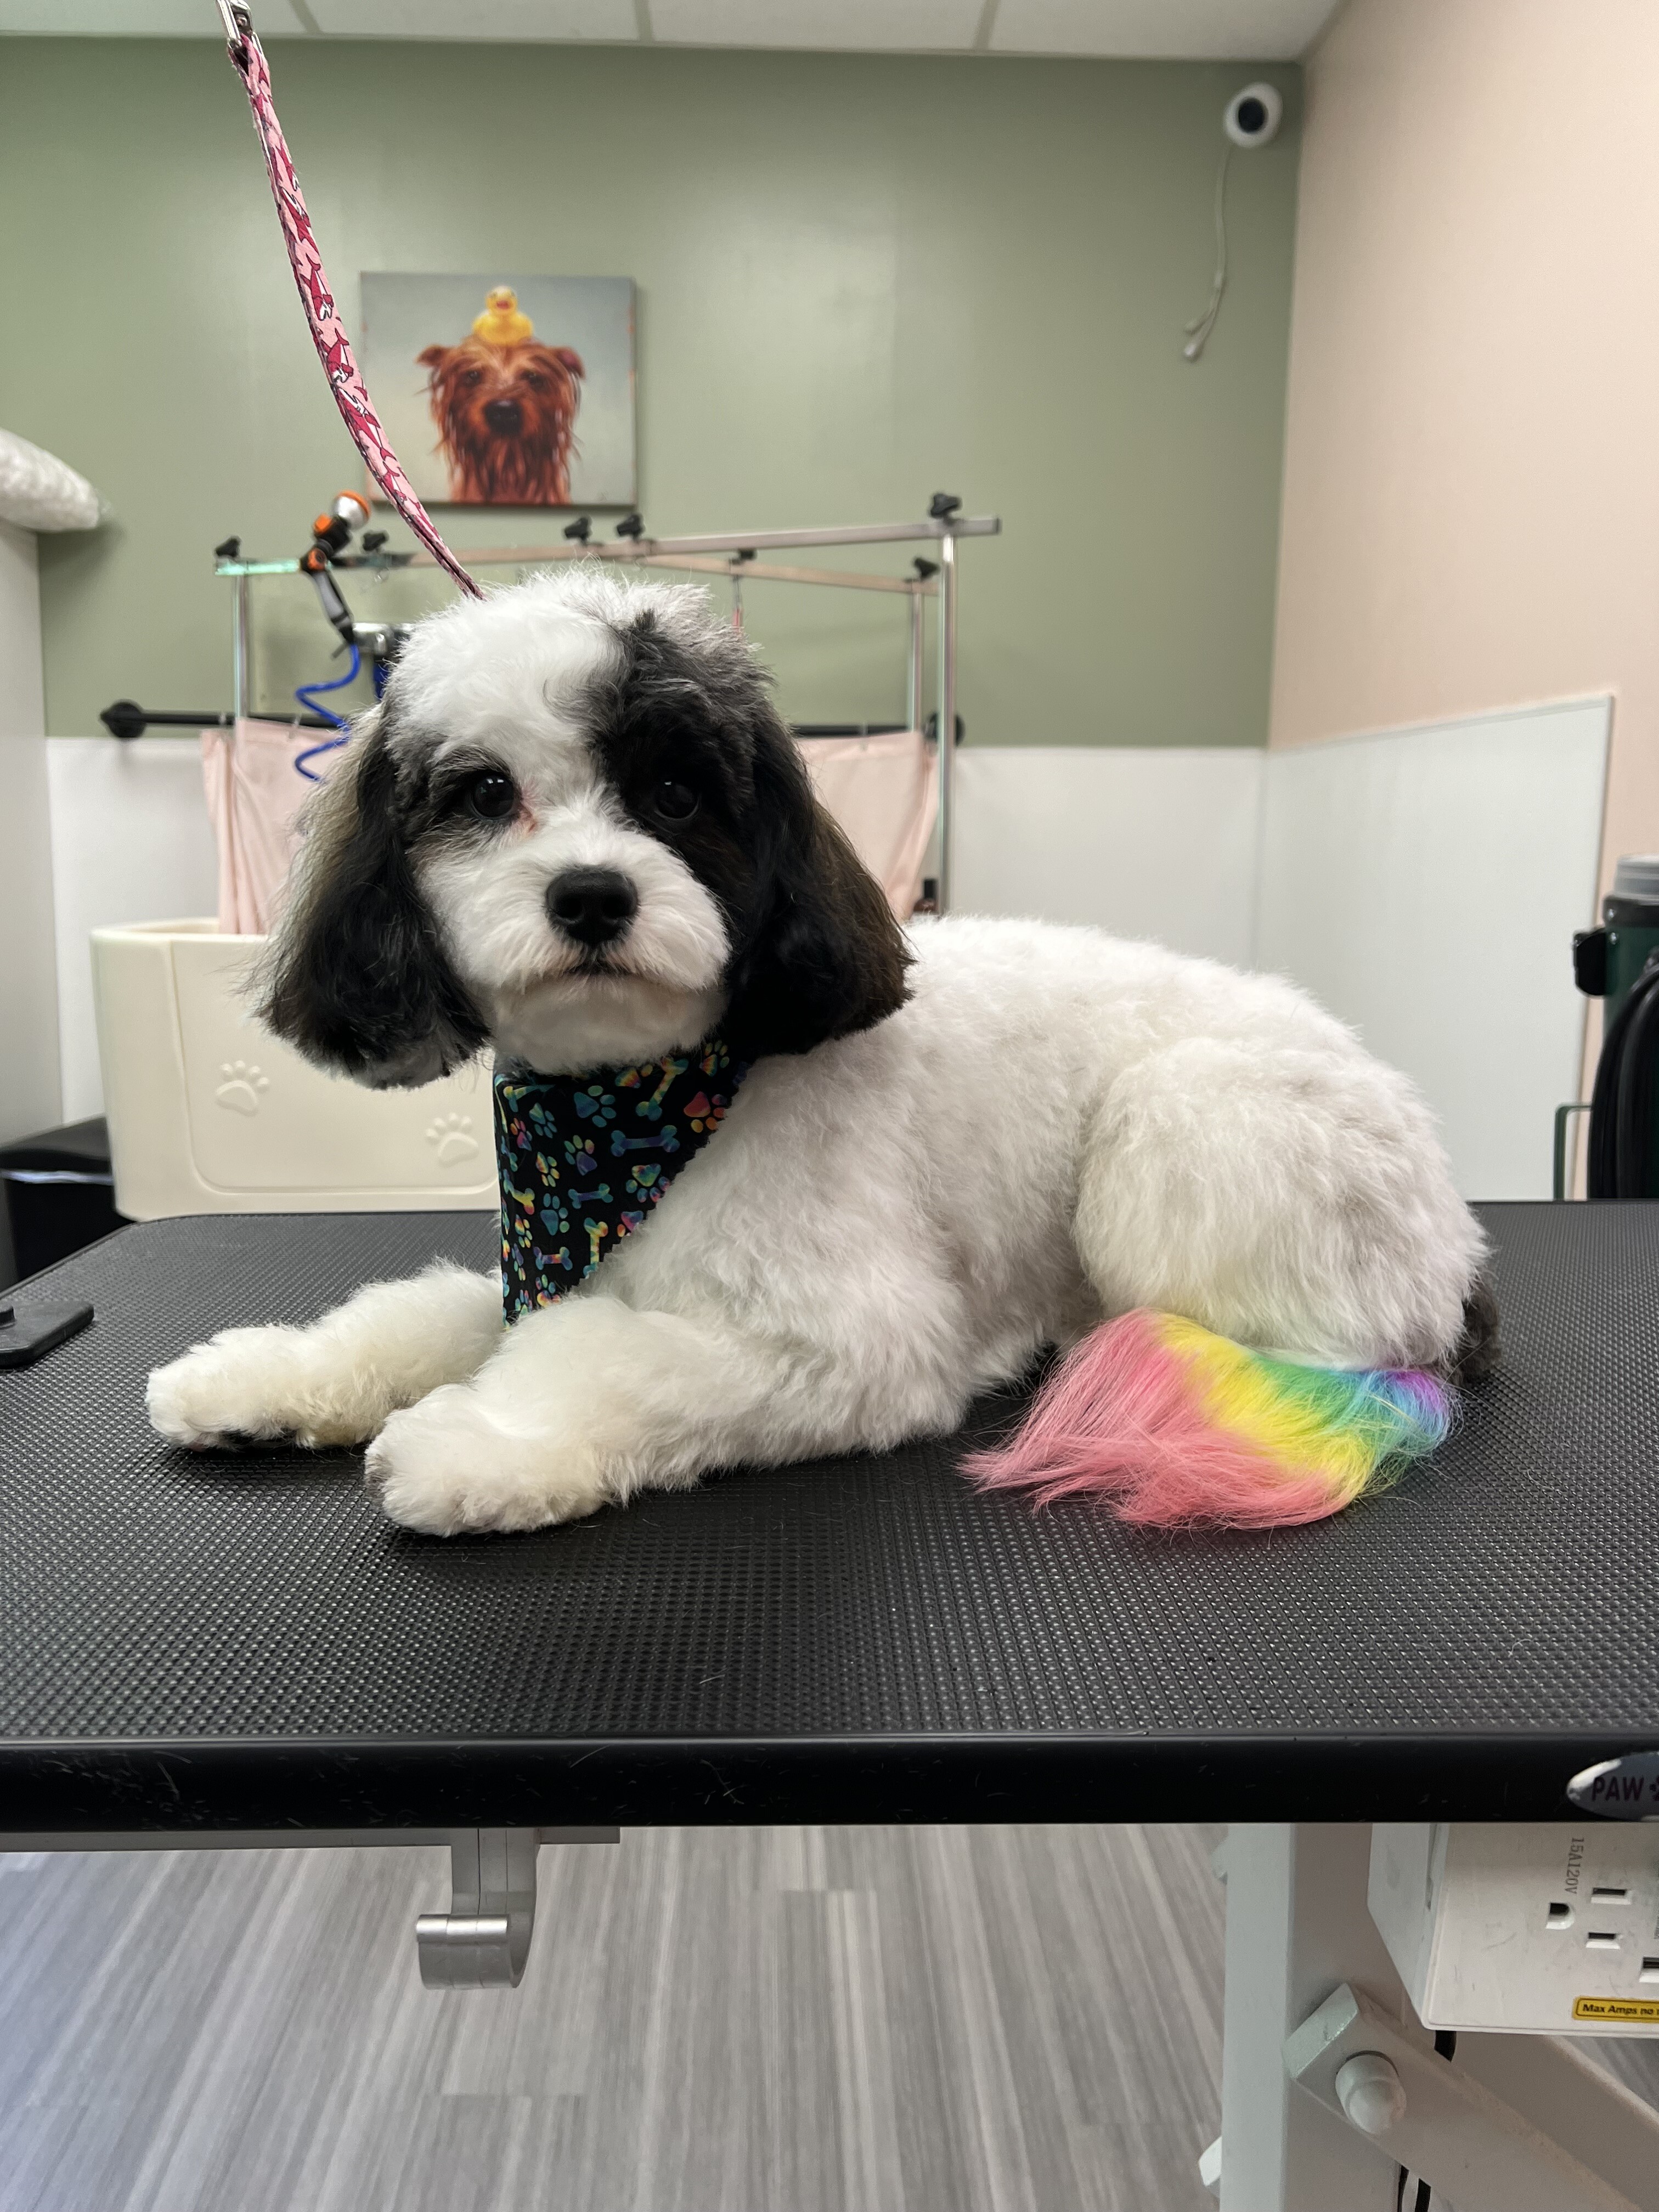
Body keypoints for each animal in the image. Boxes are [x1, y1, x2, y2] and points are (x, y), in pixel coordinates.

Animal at [149, 575, 1504, 1539]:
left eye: (678, 792)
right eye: (483, 793)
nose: (591, 895)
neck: (627, 1117)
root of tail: (1455, 1233)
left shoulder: (851, 1344)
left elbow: (603, 1357)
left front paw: (485, 1443)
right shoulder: (550, 1260)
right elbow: (419, 1310)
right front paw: (265, 1379)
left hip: (1186, 1125)